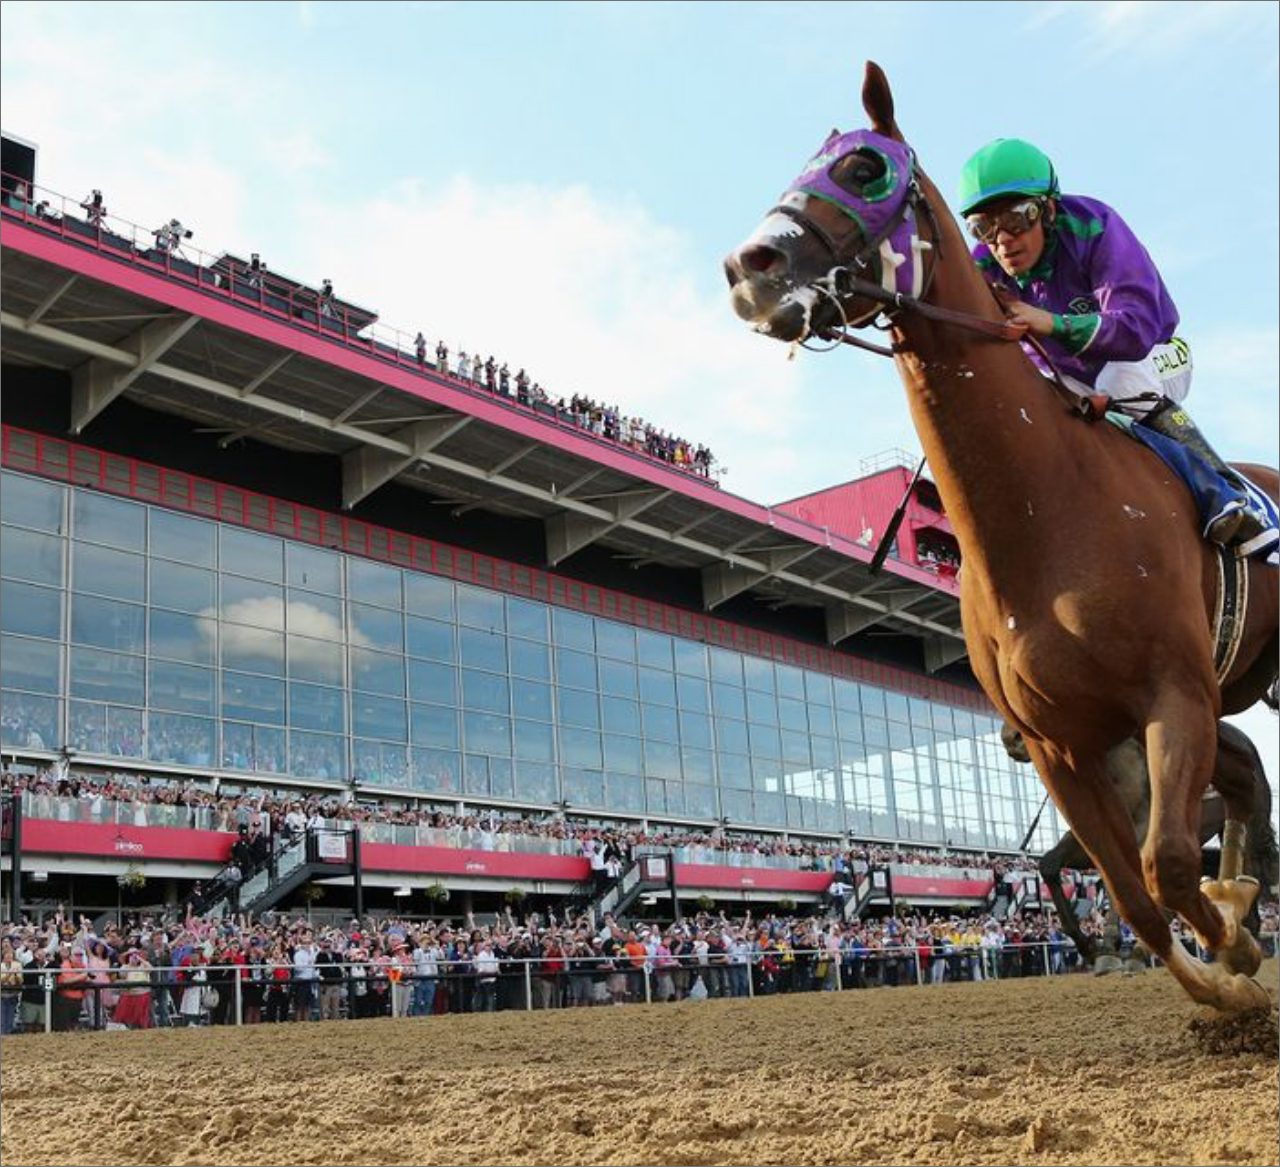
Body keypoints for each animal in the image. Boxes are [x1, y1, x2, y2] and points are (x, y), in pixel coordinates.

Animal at [727, 61, 1280, 1013]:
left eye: (867, 168)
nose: (750, 267)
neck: (1045, 516)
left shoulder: (1174, 696)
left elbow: (1168, 863)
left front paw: (1238, 954)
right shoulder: (1064, 744)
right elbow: (1134, 894)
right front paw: (1226, 956)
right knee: (1246, 778)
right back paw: (1244, 879)